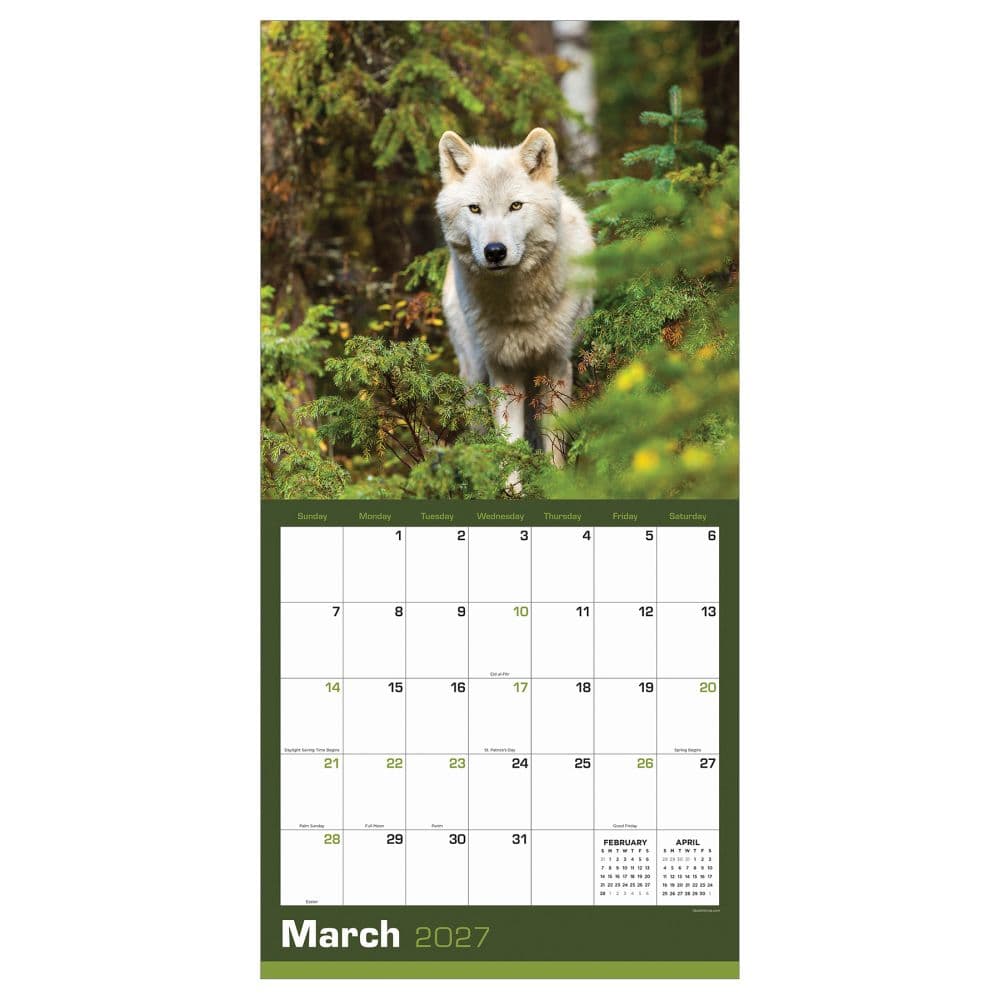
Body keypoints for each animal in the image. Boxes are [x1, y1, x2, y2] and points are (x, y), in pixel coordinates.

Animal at [435, 127, 594, 466]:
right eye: (475, 208)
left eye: (516, 206)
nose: (495, 252)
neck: (520, 308)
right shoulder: (503, 371)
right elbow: (508, 445)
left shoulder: (556, 365)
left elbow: (554, 445)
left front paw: (556, 477)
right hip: (474, 376)